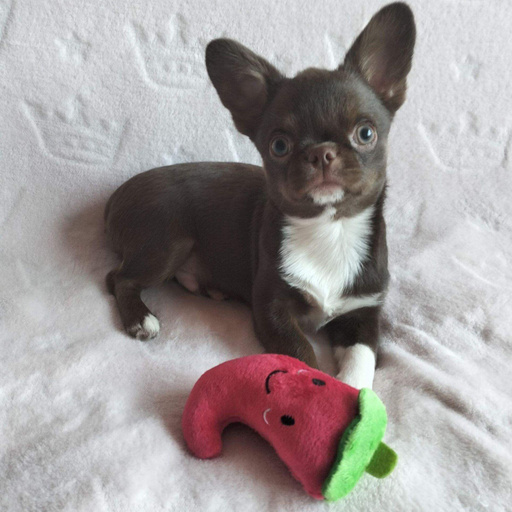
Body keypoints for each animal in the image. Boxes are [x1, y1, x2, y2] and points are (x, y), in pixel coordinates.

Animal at [104, 2, 415, 389]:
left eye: (366, 133)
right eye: (279, 145)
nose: (321, 153)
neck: (330, 229)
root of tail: (115, 198)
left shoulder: (363, 313)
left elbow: (362, 361)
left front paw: (353, 392)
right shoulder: (273, 309)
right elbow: (300, 354)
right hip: (167, 242)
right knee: (118, 278)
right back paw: (140, 318)